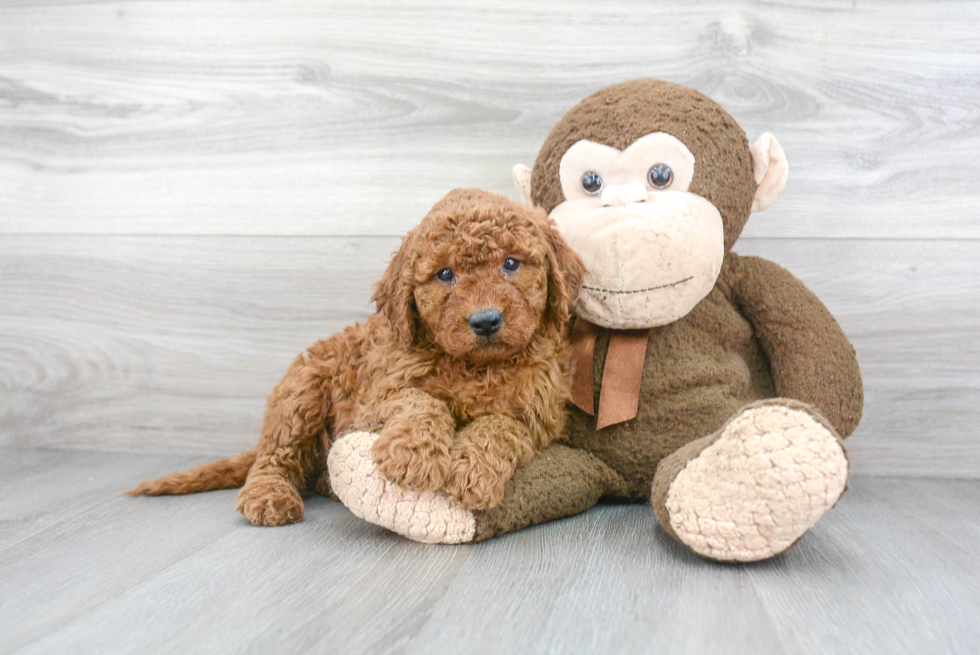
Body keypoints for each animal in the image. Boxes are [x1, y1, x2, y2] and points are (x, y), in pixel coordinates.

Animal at [133, 188, 584, 528]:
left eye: (511, 263)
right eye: (445, 275)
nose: (486, 321)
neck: (475, 366)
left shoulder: (540, 416)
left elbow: (498, 426)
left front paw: (473, 473)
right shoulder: (379, 394)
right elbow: (422, 400)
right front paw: (412, 456)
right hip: (302, 393)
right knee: (273, 459)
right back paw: (270, 495)